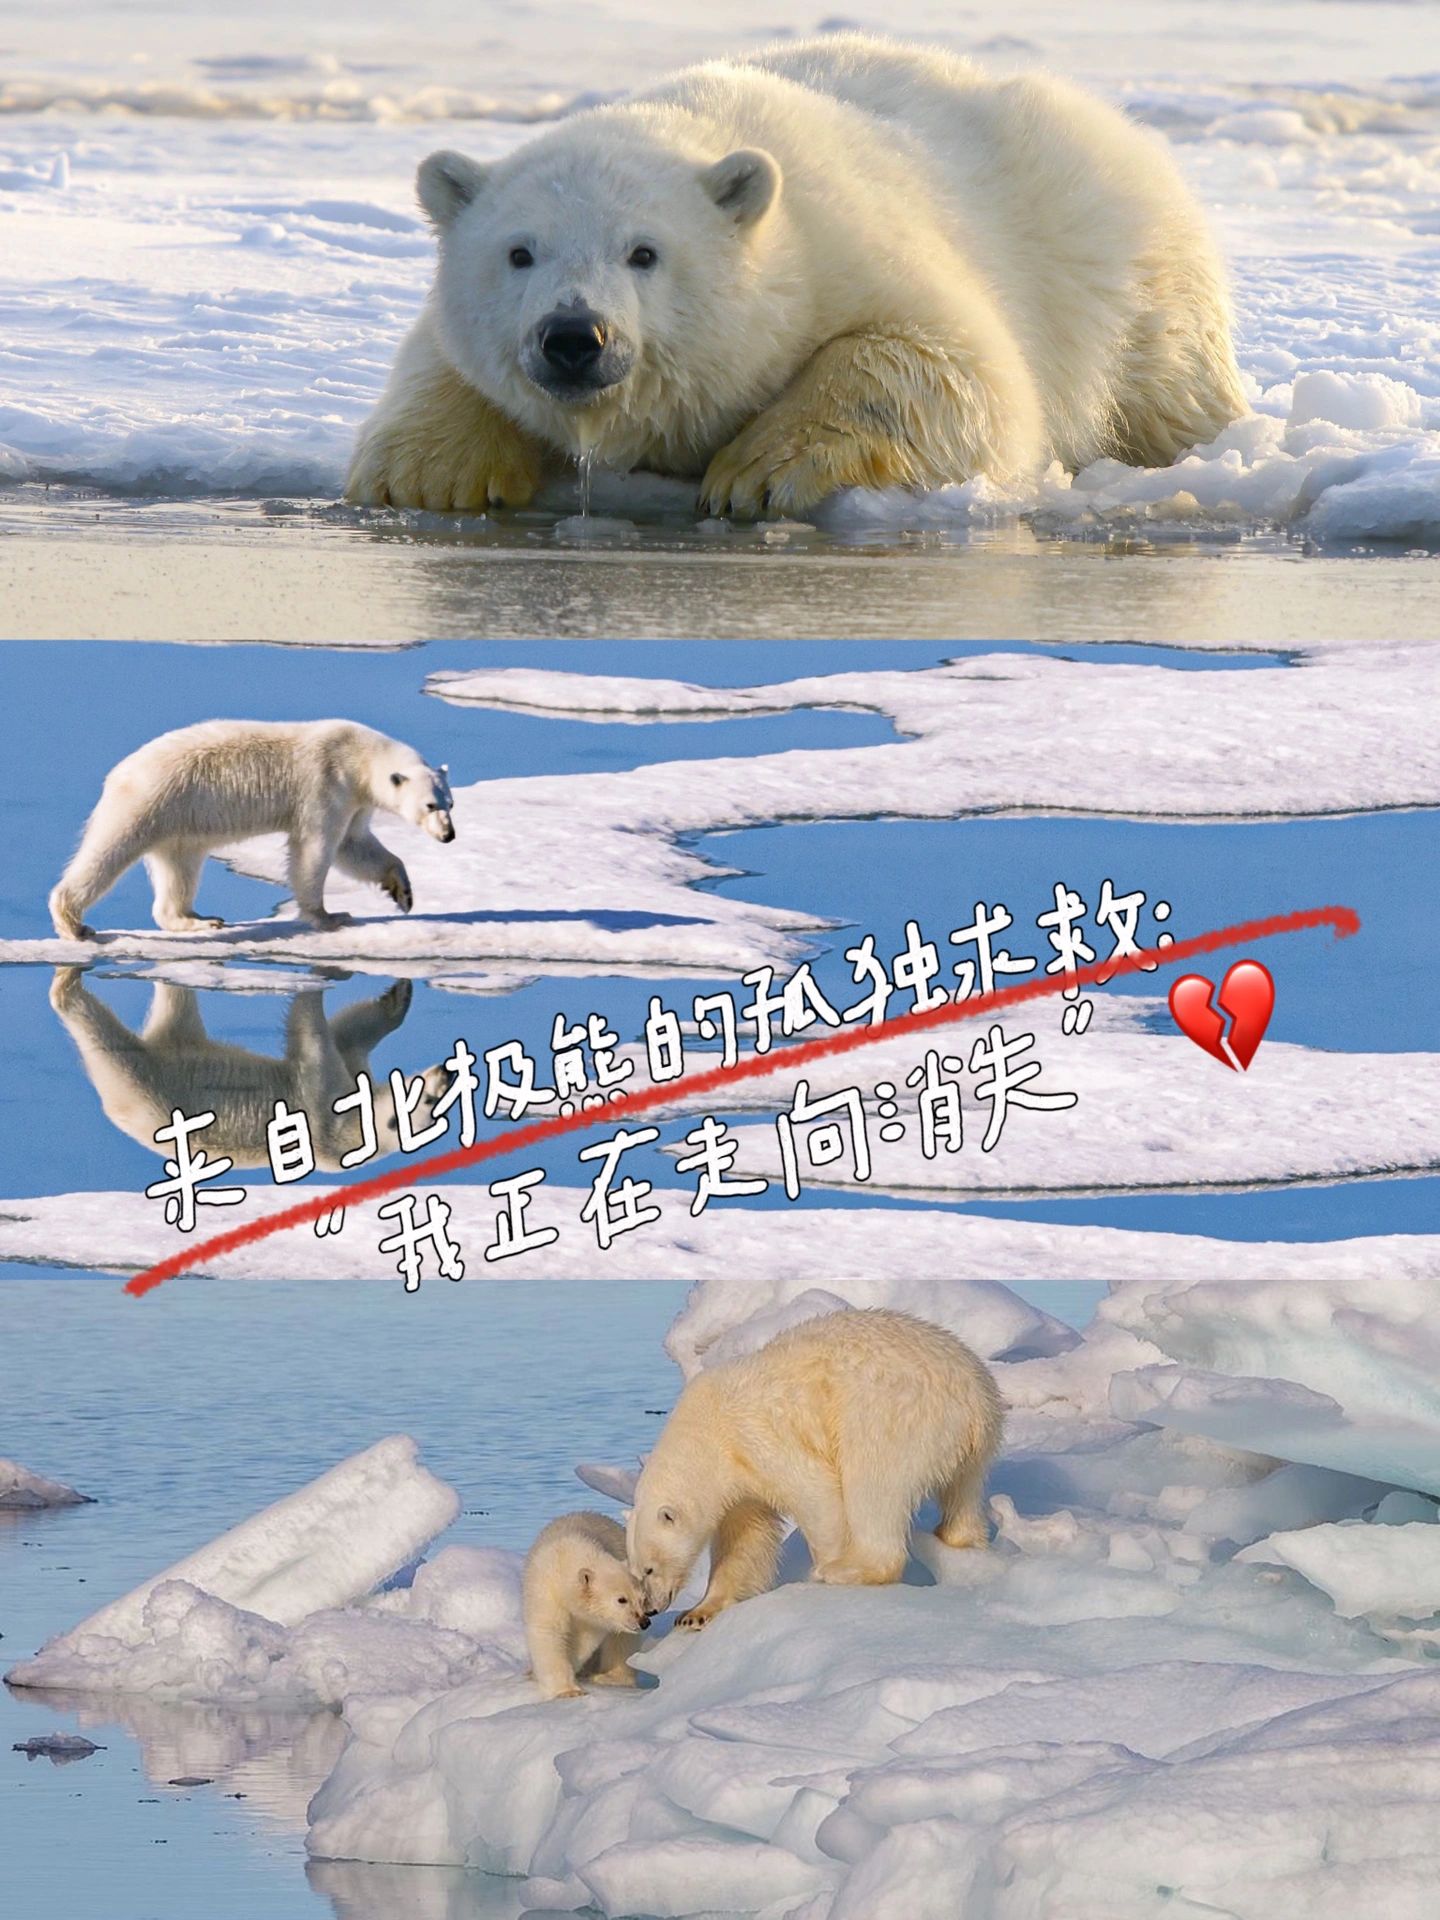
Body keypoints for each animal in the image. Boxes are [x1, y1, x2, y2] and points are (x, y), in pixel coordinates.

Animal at [48, 970, 451, 1170]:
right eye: (431, 1101)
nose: (448, 1073)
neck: (353, 1133)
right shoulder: (324, 1114)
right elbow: (320, 1040)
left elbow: (346, 1037)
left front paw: (396, 998)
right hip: (143, 1085)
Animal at [49, 720, 455, 940]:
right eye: (430, 805)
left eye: (449, 804)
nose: (448, 836)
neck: (356, 754)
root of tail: (119, 773)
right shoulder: (326, 784)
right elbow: (317, 847)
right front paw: (330, 916)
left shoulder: (356, 799)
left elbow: (353, 845)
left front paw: (403, 892)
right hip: (149, 801)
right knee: (108, 852)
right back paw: (75, 924)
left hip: (179, 824)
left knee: (180, 869)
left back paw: (199, 920)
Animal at [347, 33, 1246, 520]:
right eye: (519, 252)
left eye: (644, 252)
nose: (574, 336)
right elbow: (438, 357)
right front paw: (430, 474)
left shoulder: (853, 249)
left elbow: (956, 370)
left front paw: (755, 473)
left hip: (1124, 270)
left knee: (1168, 385)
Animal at [523, 1511, 653, 1700]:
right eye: (621, 1599)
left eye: (642, 1598)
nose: (644, 1622)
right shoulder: (546, 1589)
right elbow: (549, 1632)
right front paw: (568, 1690)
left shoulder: (593, 1620)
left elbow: (584, 1640)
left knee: (621, 1642)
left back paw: (609, 1677)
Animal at [626, 1307, 1003, 1629]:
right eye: (634, 1570)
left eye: (648, 1569)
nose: (652, 1609)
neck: (708, 1431)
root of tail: (975, 1399)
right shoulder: (738, 1480)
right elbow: (744, 1539)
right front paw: (697, 1613)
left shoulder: (757, 1437)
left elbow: (816, 1494)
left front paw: (825, 1564)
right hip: (972, 1446)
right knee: (963, 1494)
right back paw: (959, 1540)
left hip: (891, 1417)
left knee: (874, 1488)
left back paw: (843, 1571)